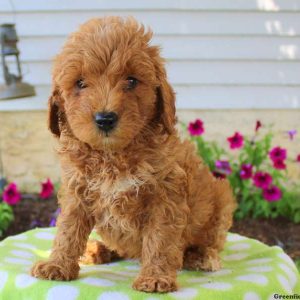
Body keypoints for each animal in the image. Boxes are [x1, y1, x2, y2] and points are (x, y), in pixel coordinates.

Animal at [30, 16, 237, 292]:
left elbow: (160, 238)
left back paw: (202, 256)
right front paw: (57, 265)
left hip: (221, 198)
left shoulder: (165, 195)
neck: (113, 156)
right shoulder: (77, 191)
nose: (105, 118)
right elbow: (68, 229)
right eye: (80, 83)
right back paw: (97, 250)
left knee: (209, 241)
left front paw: (155, 277)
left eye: (131, 81)